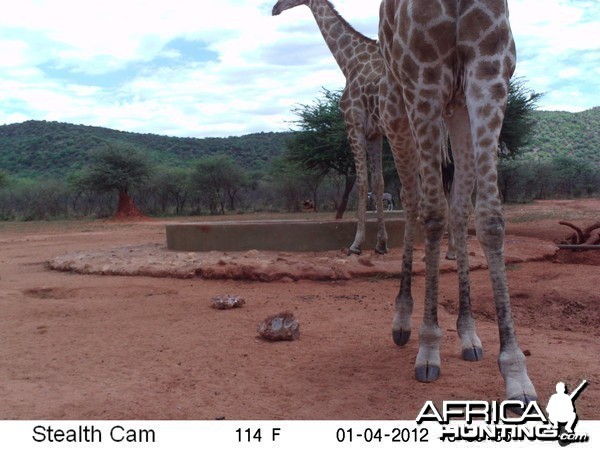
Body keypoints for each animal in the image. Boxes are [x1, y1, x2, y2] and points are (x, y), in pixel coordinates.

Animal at [272, 0, 390, 253]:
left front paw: (356, 244)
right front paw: (381, 244)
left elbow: (362, 182)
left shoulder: (353, 125)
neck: (350, 62)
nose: (274, 9)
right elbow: (378, 183)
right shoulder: (375, 134)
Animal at [378, 0, 536, 404]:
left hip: (457, 107)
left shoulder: (489, 74)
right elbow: (432, 214)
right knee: (413, 199)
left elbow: (491, 219)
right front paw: (428, 347)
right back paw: (402, 321)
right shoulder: (424, 80)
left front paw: (515, 370)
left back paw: (468, 333)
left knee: (459, 207)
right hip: (397, 106)